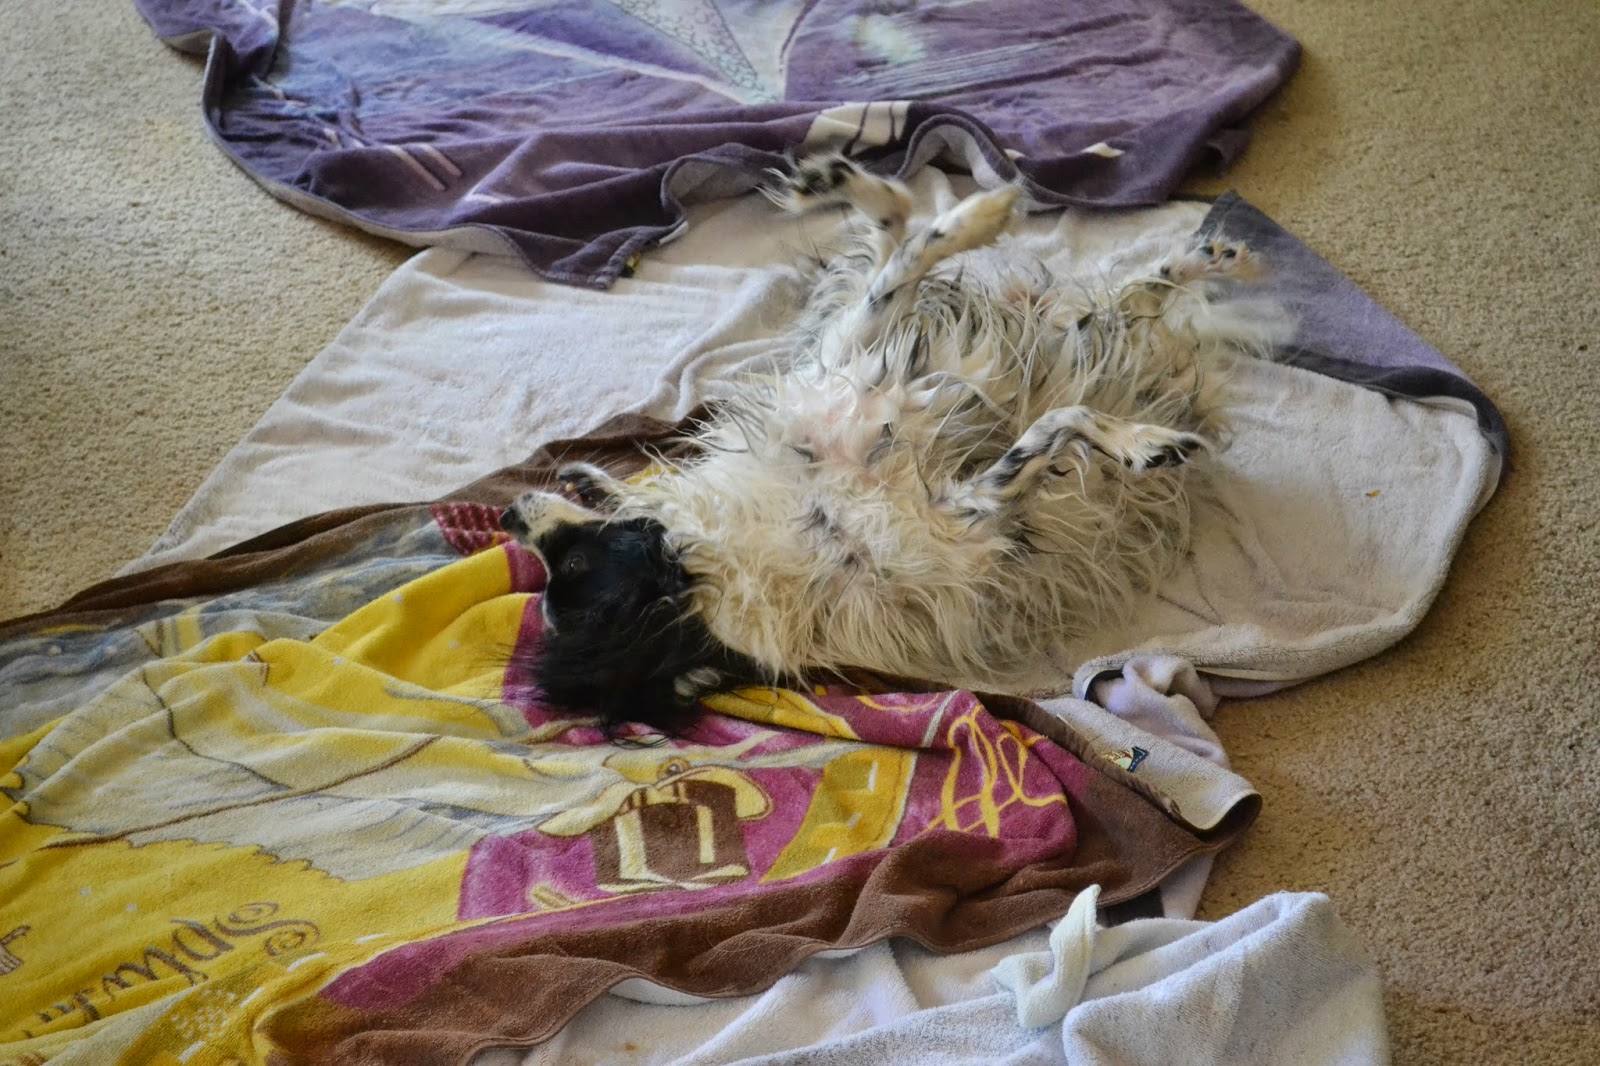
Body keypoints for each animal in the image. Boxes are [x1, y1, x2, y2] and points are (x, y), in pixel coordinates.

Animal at [501, 154, 1282, 733]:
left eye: (571, 565)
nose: (509, 514)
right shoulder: (967, 516)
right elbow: (1061, 420)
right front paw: (1145, 444)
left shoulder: (855, 367)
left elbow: (901, 246)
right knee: (1126, 304)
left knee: (1127, 288)